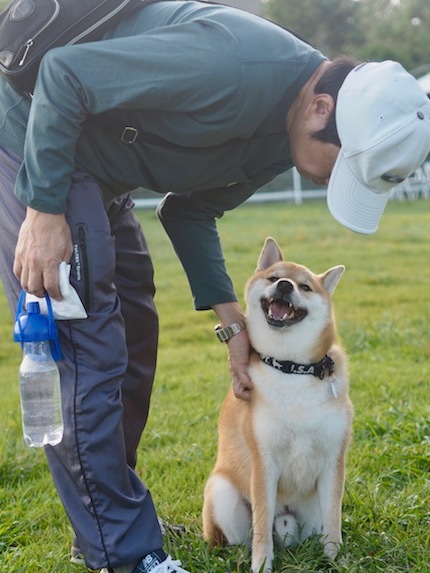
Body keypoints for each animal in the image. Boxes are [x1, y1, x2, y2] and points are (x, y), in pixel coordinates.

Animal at [202, 237, 352, 572]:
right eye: (274, 278)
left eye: (305, 286)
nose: (284, 286)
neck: (292, 369)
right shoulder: (264, 462)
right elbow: (260, 529)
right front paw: (261, 565)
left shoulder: (333, 460)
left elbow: (334, 521)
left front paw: (334, 559)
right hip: (222, 493)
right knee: (241, 538)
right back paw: (241, 555)